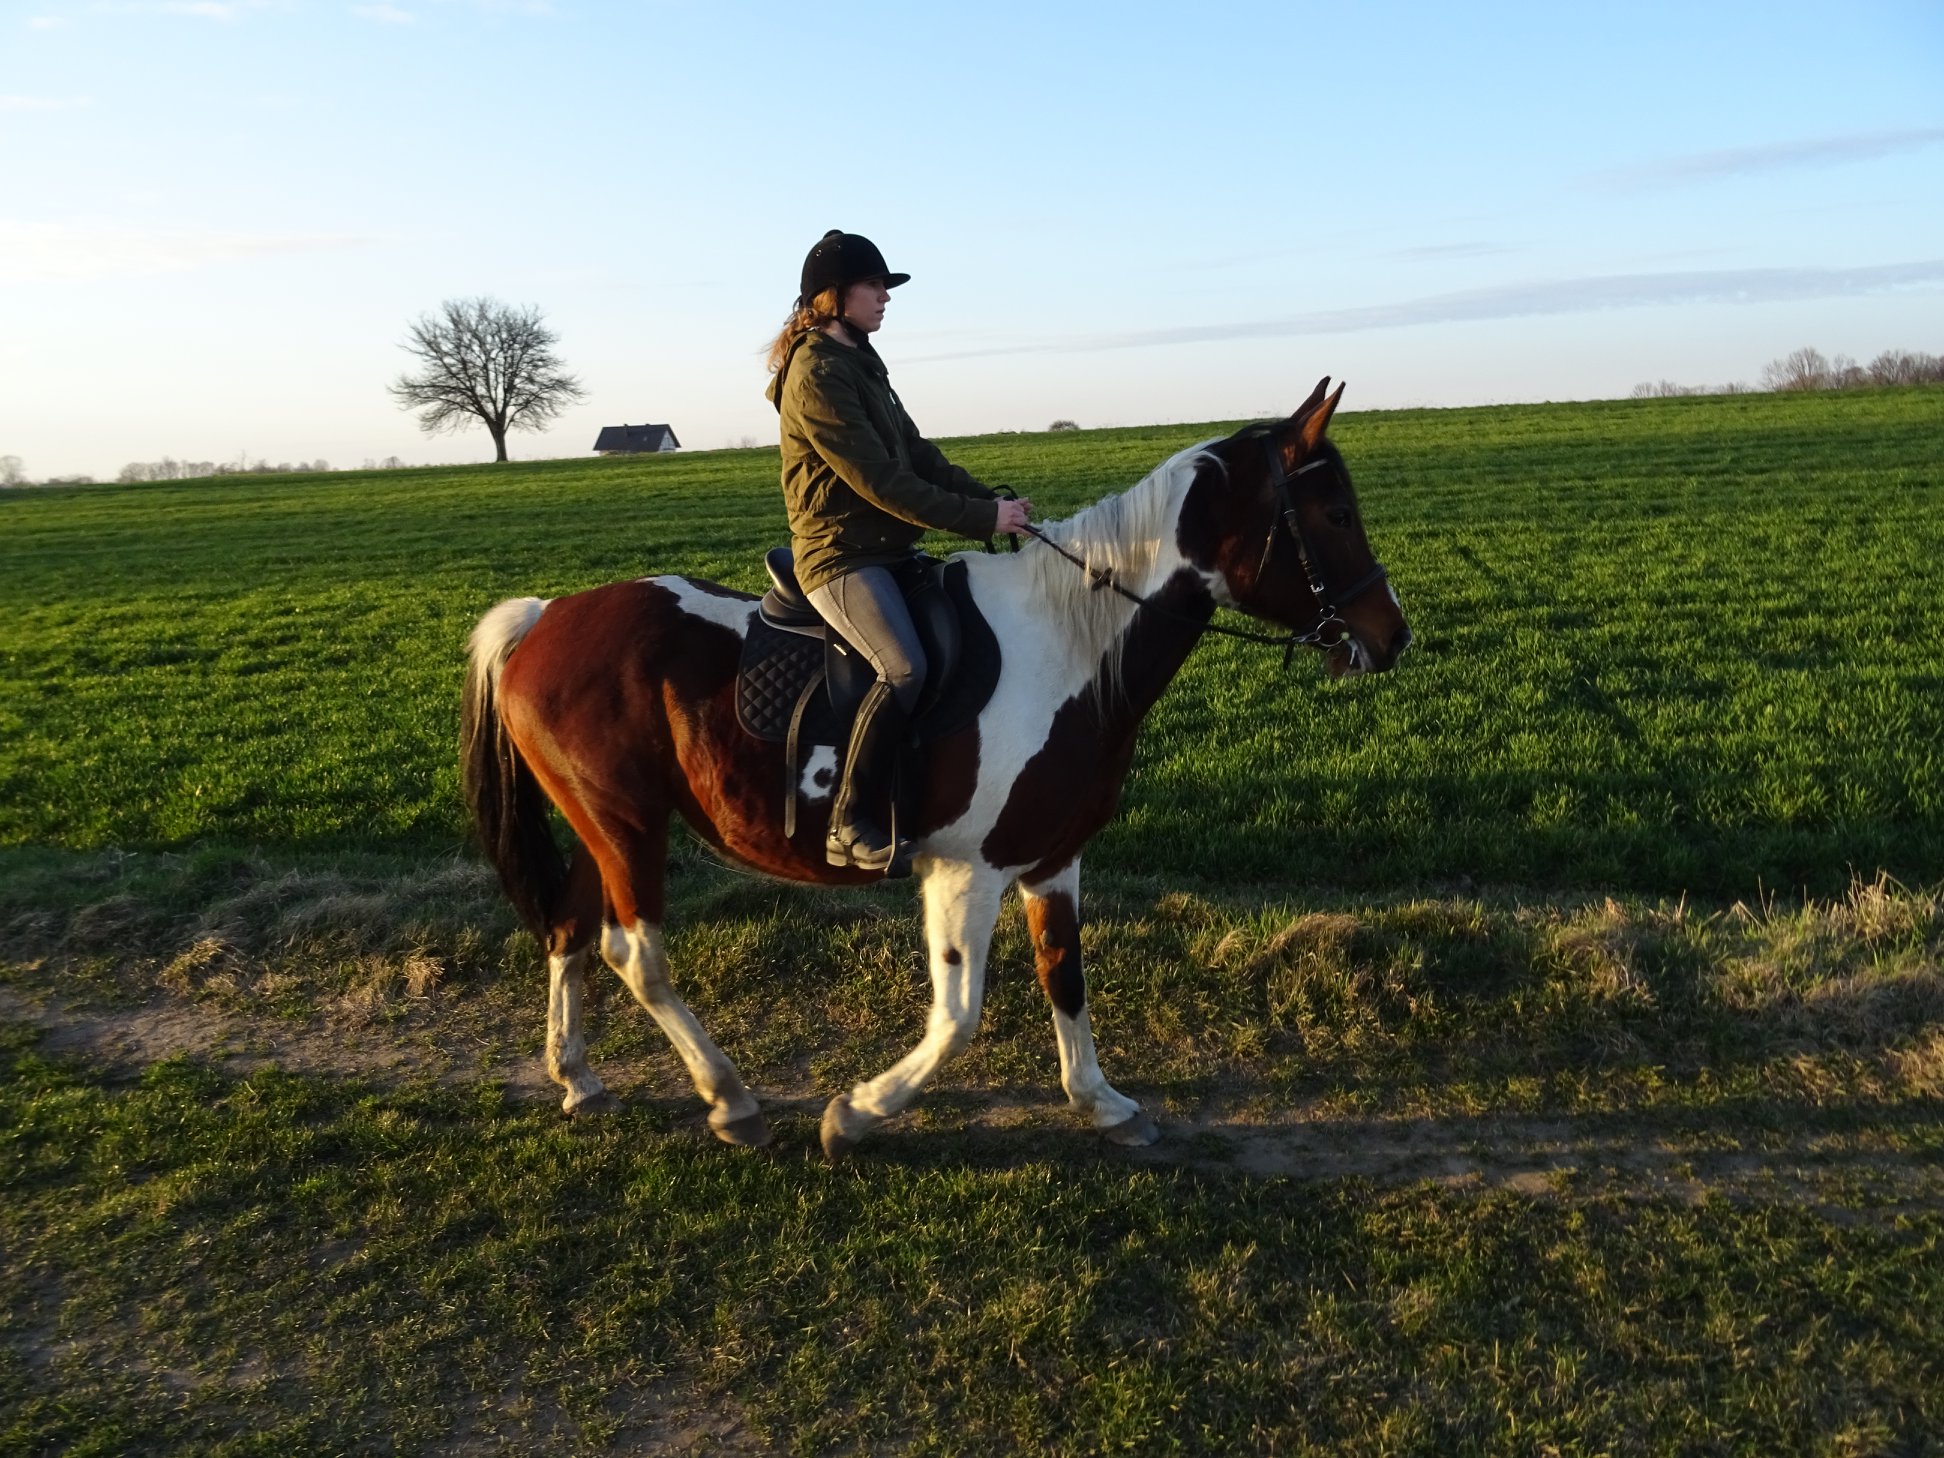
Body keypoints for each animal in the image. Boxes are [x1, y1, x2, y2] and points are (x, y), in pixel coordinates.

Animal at [460, 378, 1410, 1159]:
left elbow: (1065, 974)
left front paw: (1101, 1102)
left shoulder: (1053, 856)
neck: (1066, 644)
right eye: (1333, 514)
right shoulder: (967, 869)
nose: (1392, 636)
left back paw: (579, 1079)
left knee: (570, 928)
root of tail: (543, 619)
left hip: (604, 822)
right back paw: (729, 1098)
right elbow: (959, 1017)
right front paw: (855, 1115)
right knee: (634, 952)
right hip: (627, 826)